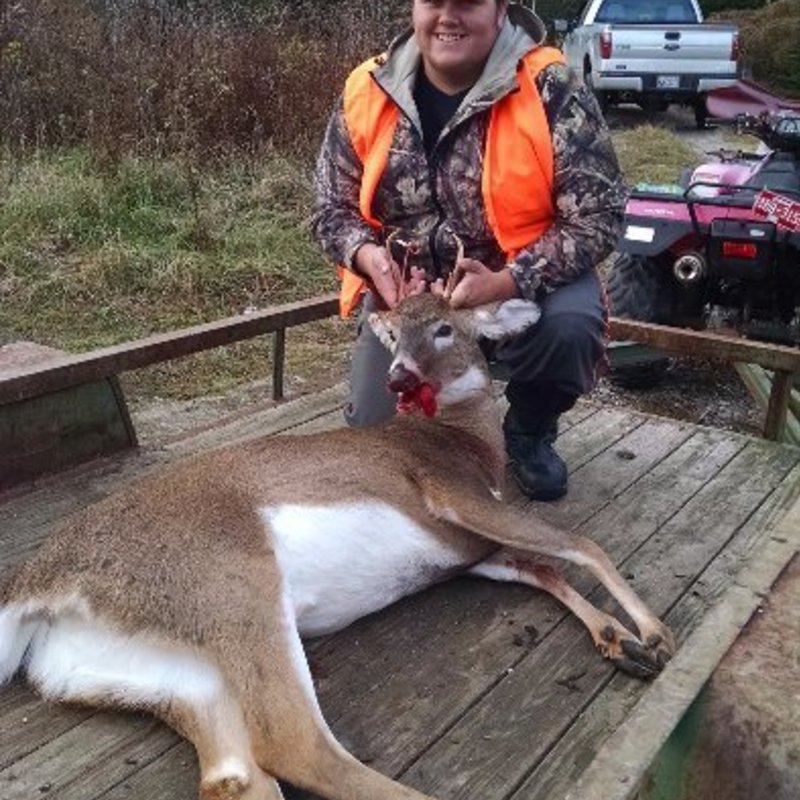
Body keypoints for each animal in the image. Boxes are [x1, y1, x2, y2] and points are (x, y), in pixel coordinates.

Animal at [0, 293, 675, 800]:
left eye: (445, 328)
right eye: (393, 333)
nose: (401, 373)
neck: (465, 441)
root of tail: (38, 582)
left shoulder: (472, 551)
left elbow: (545, 569)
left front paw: (620, 640)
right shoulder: (453, 496)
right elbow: (581, 543)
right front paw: (655, 635)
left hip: (154, 670)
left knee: (233, 773)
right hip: (234, 585)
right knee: (295, 745)